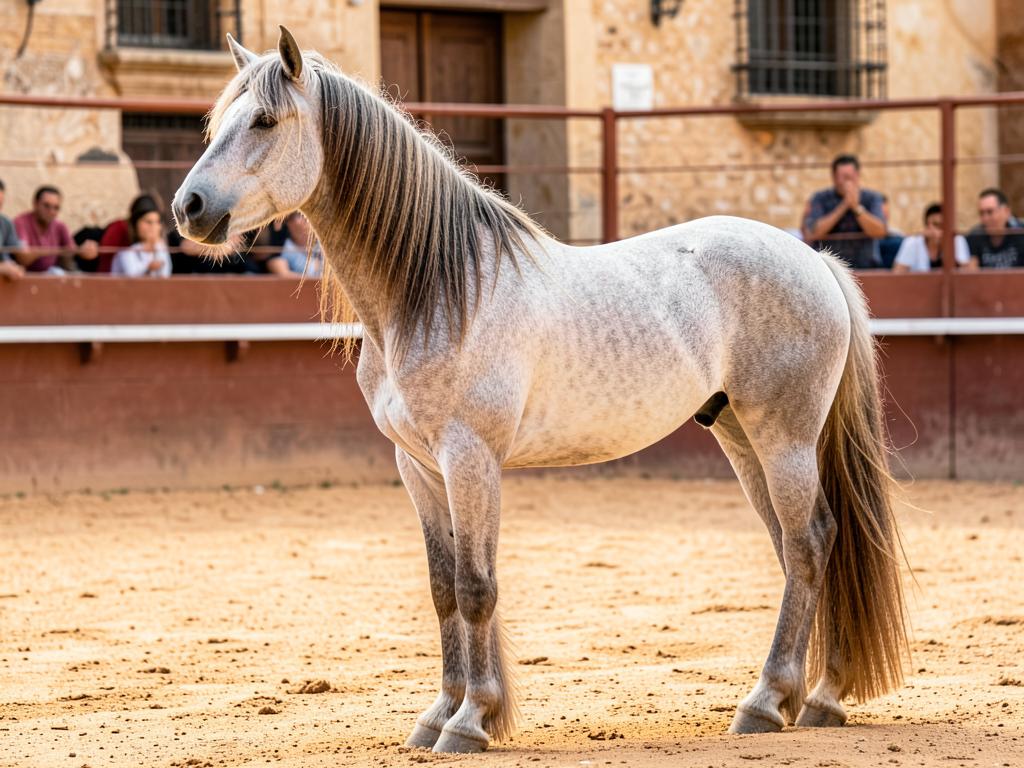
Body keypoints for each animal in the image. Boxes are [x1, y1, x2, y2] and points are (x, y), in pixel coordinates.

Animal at [173, 27, 909, 754]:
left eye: (265, 121)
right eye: (218, 121)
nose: (189, 208)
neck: (442, 291)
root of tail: (813, 258)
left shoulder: (470, 459)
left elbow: (476, 587)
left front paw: (471, 721)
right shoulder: (417, 465)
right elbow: (443, 589)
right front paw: (439, 715)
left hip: (784, 436)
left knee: (811, 543)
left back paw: (776, 700)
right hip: (739, 435)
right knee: (796, 548)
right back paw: (806, 698)